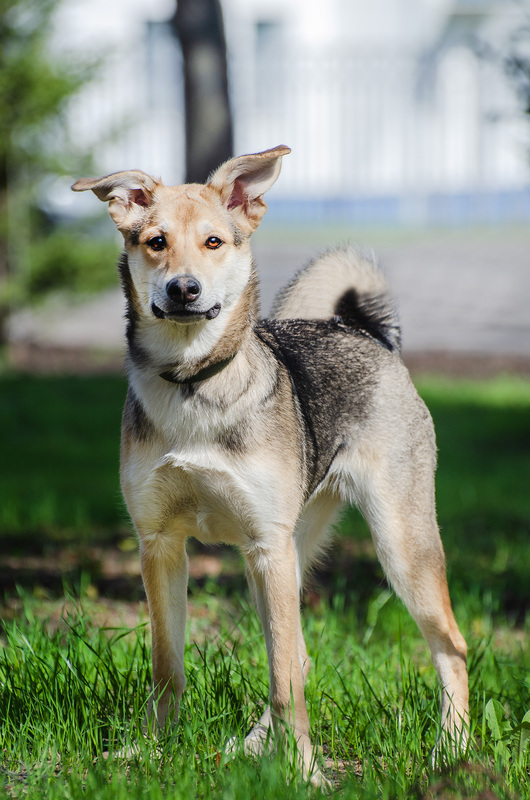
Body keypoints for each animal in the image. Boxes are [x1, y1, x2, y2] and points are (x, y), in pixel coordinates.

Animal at [72, 147, 468, 784]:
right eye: (155, 241)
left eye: (213, 242)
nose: (184, 289)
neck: (193, 386)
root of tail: (362, 330)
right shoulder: (160, 545)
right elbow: (168, 667)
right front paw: (153, 751)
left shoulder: (265, 546)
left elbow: (283, 680)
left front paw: (305, 773)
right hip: (283, 557)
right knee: (298, 654)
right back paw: (253, 747)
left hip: (393, 545)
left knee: (448, 646)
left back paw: (451, 750)